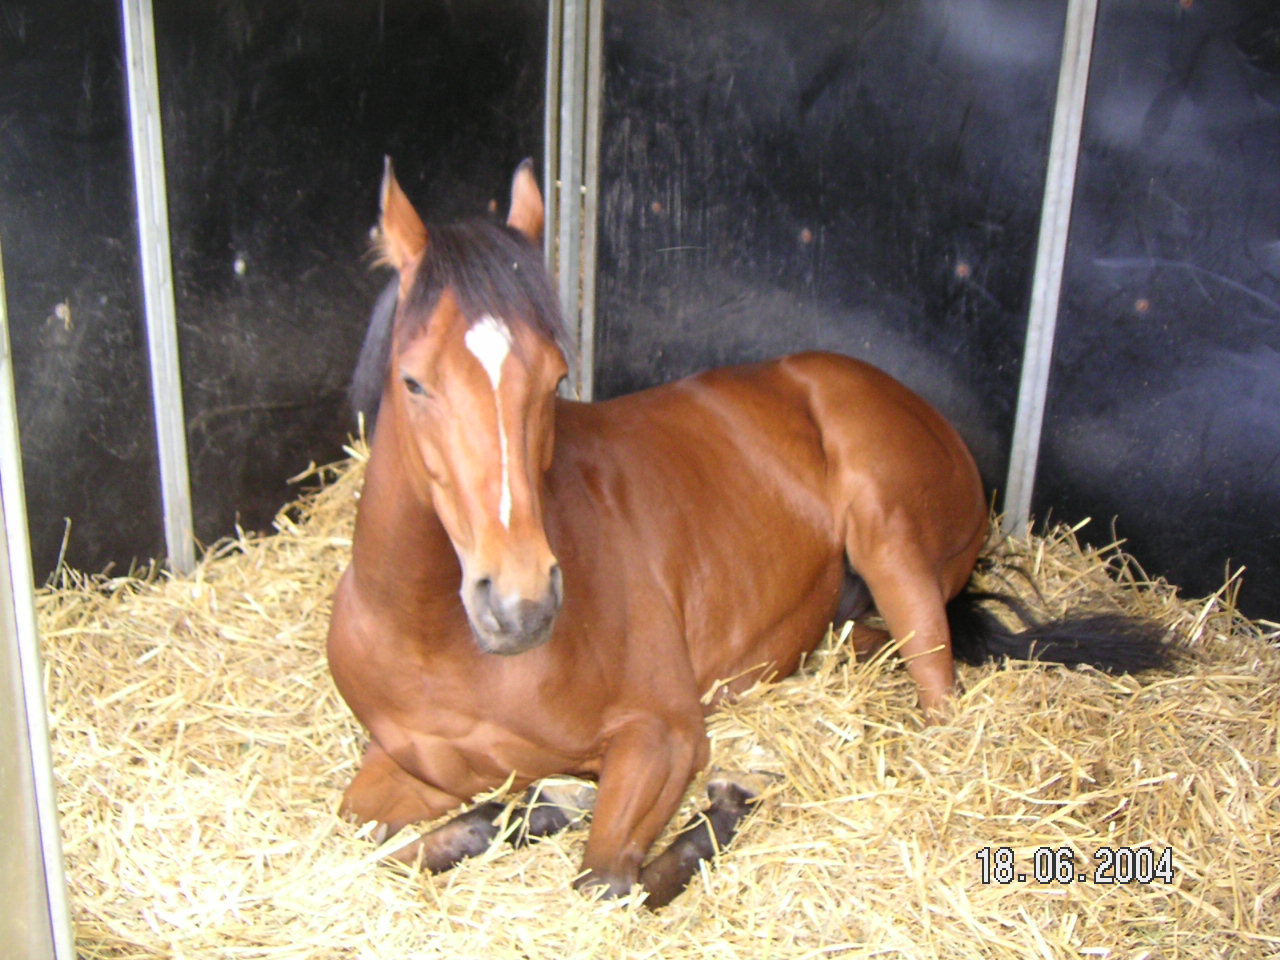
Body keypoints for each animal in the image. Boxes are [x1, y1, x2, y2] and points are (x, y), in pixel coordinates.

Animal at [322, 160, 1172, 911]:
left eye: (554, 379)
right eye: (414, 381)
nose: (520, 606)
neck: (436, 642)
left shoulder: (663, 738)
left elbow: (608, 883)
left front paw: (713, 807)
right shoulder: (408, 770)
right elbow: (361, 840)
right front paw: (518, 814)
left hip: (889, 542)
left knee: (938, 697)